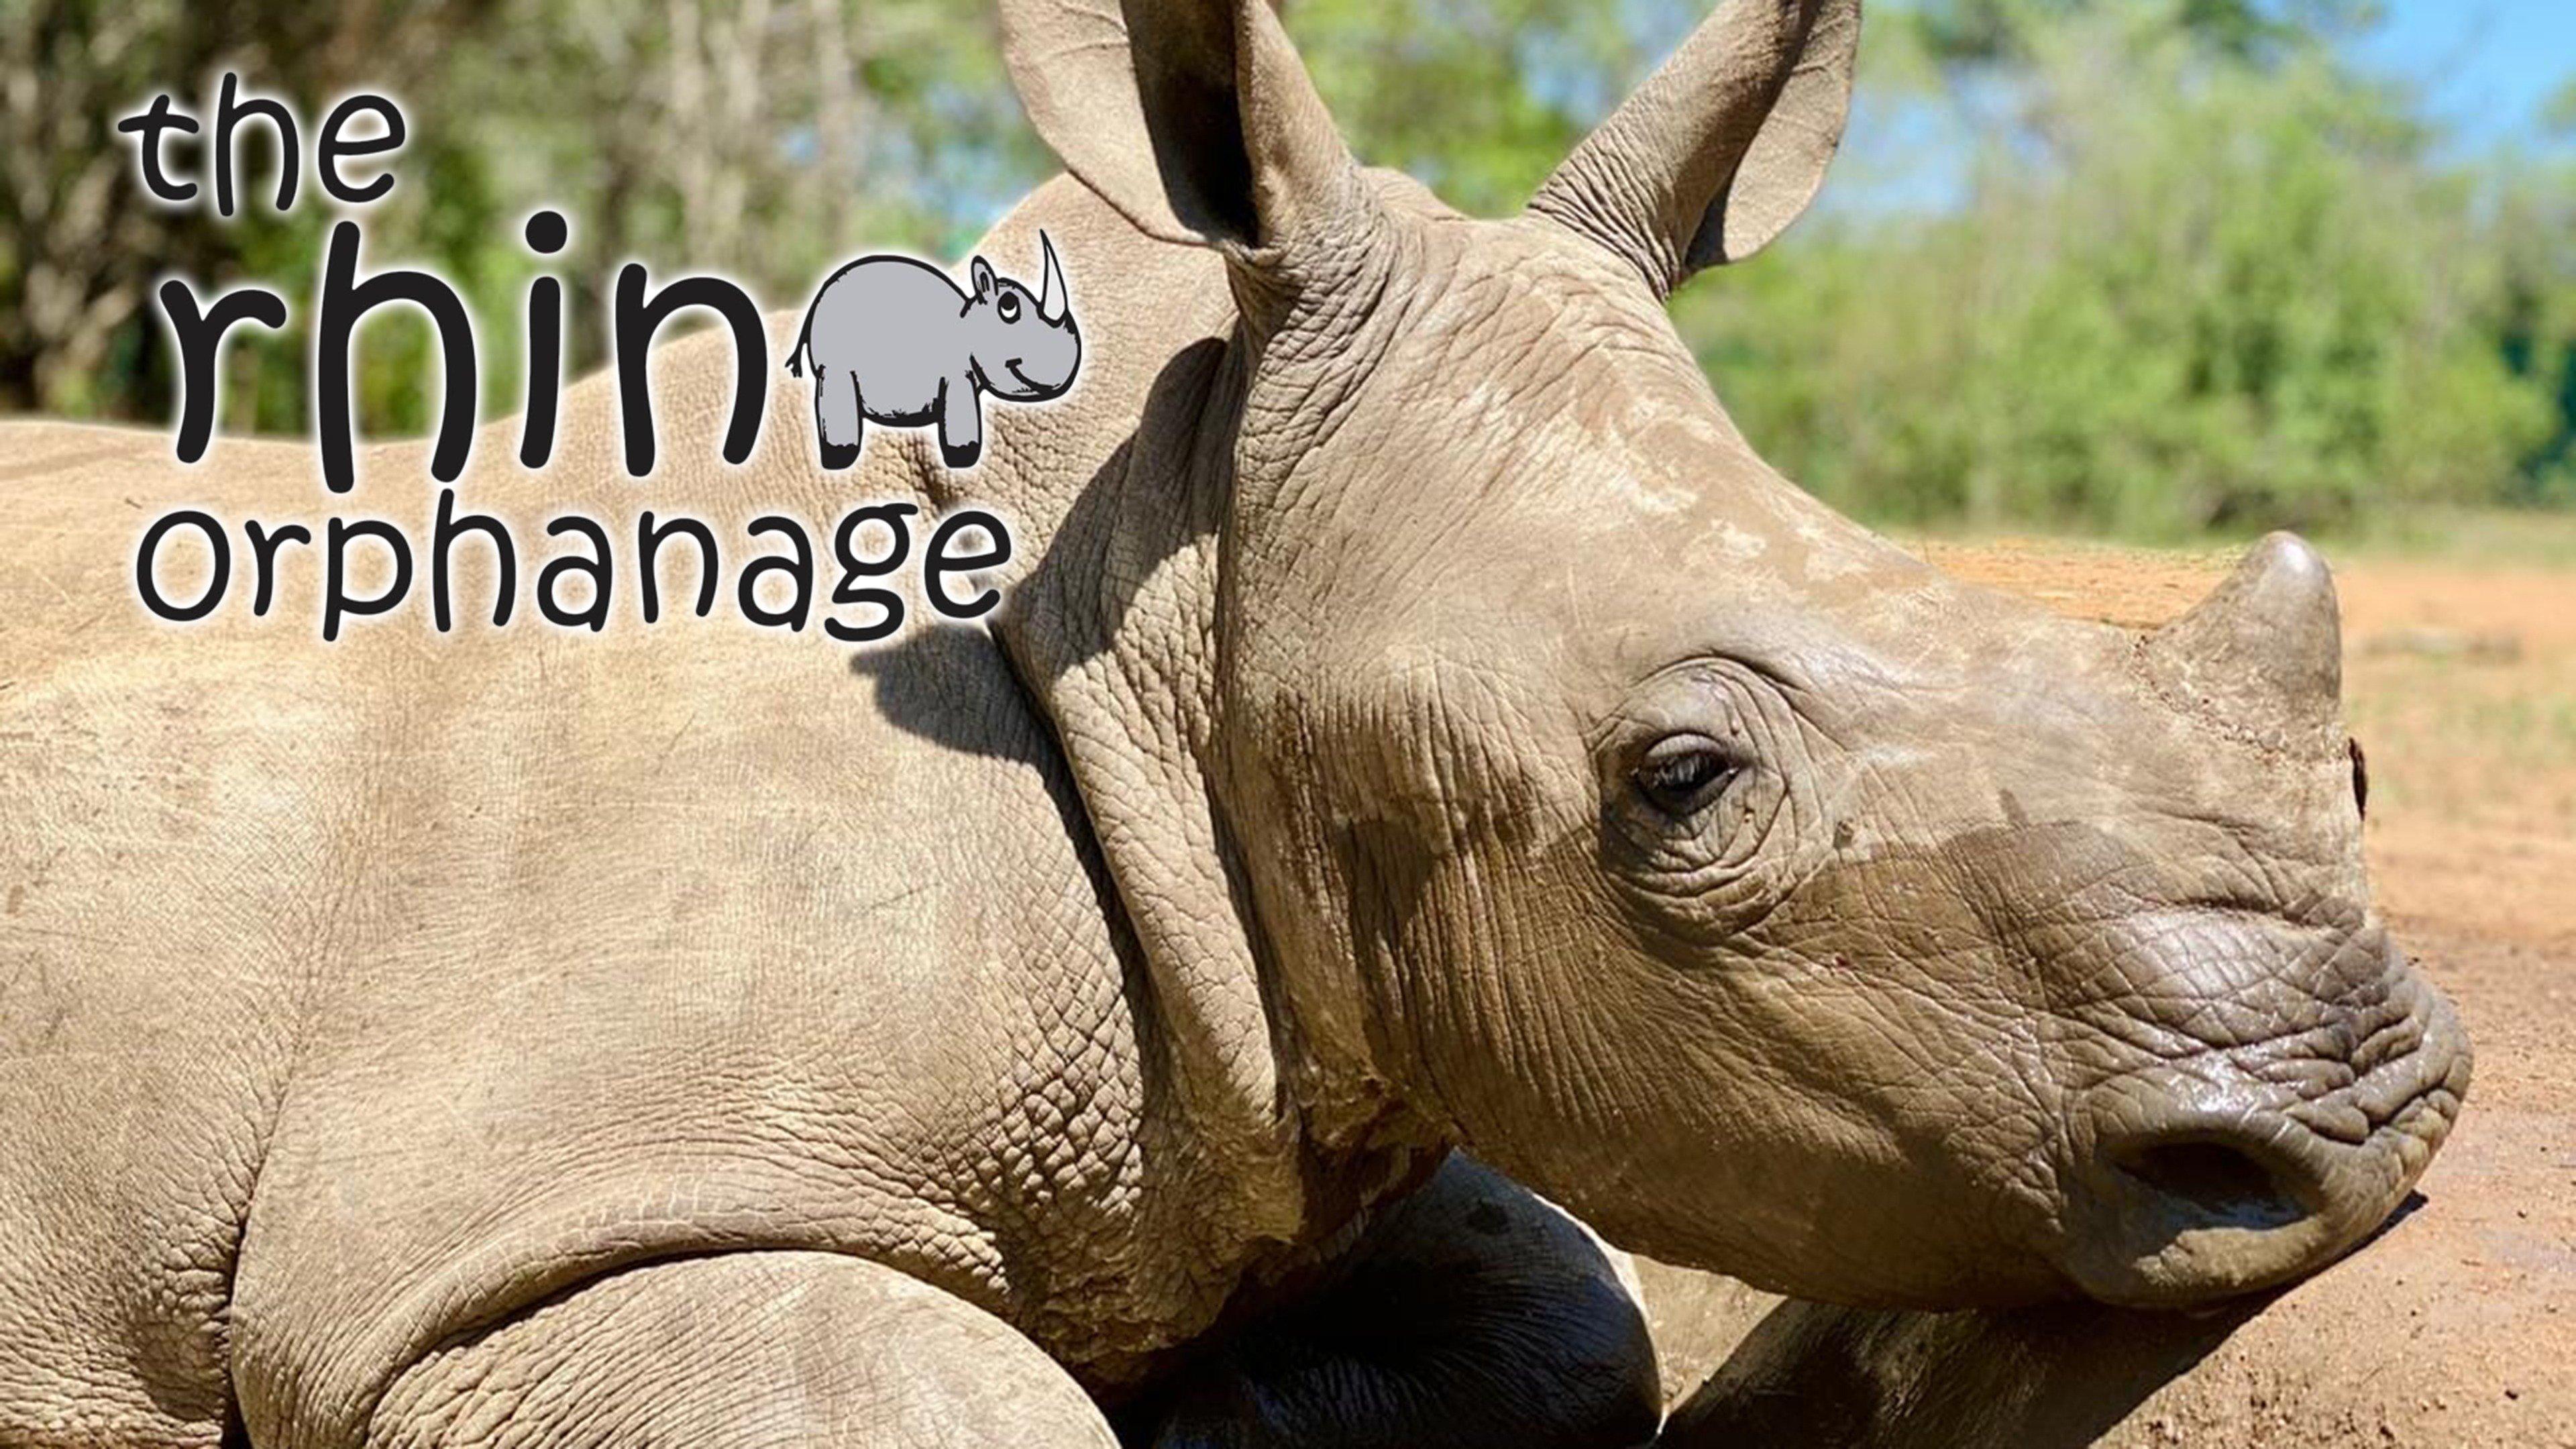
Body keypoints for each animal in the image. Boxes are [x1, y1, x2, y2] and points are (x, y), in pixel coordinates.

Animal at [0, 0, 2469, 1445]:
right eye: (1680, 791)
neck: (1159, 583)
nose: (2361, 1117)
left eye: (2361, 770)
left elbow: (1573, 1330)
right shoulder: (507, 1235)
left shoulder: (1324, 1051)